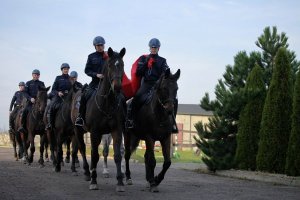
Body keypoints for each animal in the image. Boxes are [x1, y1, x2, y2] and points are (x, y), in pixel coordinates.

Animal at [80, 47, 126, 192]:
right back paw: (88, 172)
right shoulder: (95, 132)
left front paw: (120, 182)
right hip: (79, 131)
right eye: (110, 65)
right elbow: (95, 155)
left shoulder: (117, 131)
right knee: (83, 149)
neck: (107, 103)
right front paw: (94, 181)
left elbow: (117, 155)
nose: (117, 87)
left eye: (122, 65)